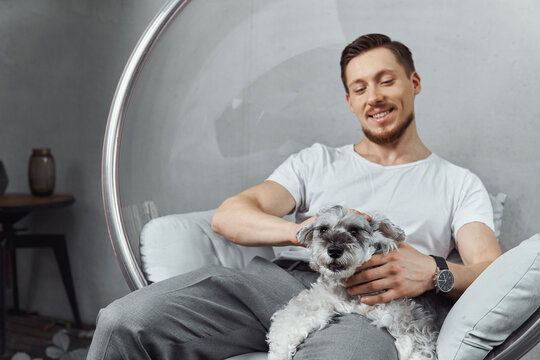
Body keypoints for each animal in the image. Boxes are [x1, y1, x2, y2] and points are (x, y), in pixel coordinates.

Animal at [266, 205, 442, 360]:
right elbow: (287, 324)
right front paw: (278, 354)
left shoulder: (412, 321)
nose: (334, 250)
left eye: (354, 231)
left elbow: (418, 348)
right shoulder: (316, 301)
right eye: (323, 229)